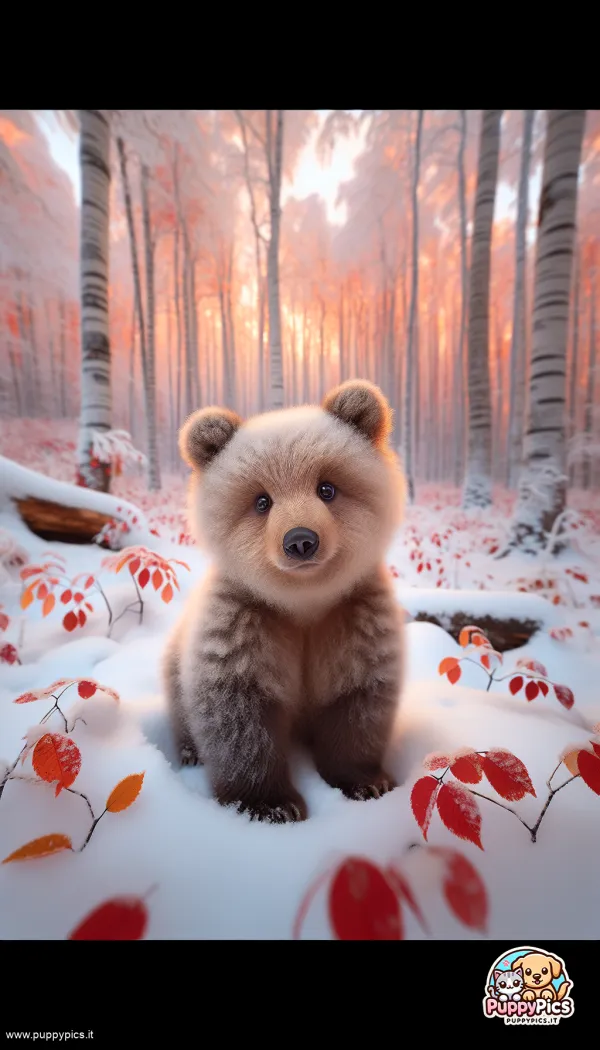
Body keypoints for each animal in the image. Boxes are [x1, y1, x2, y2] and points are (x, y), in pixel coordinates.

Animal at [162, 379, 406, 824]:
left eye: (326, 488)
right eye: (262, 501)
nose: (301, 540)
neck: (304, 604)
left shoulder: (352, 614)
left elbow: (358, 703)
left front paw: (367, 782)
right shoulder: (246, 619)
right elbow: (239, 718)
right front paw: (271, 804)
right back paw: (189, 751)